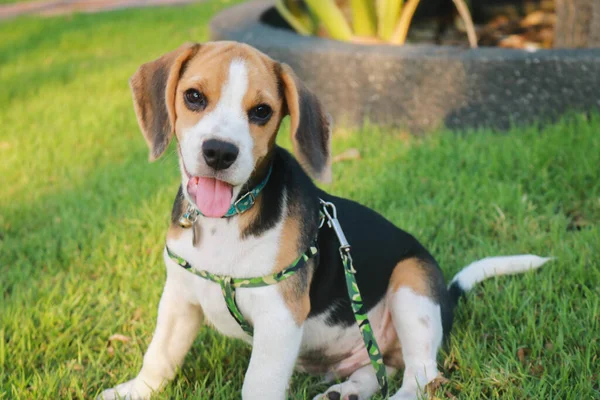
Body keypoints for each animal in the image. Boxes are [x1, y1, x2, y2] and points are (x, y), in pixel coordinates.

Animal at [99, 41, 552, 400]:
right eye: (193, 97)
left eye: (261, 111)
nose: (219, 152)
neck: (229, 218)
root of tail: (446, 297)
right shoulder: (179, 297)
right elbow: (159, 355)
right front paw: (135, 391)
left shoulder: (279, 316)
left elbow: (257, 385)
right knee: (381, 367)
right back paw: (346, 391)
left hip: (412, 285)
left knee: (421, 375)